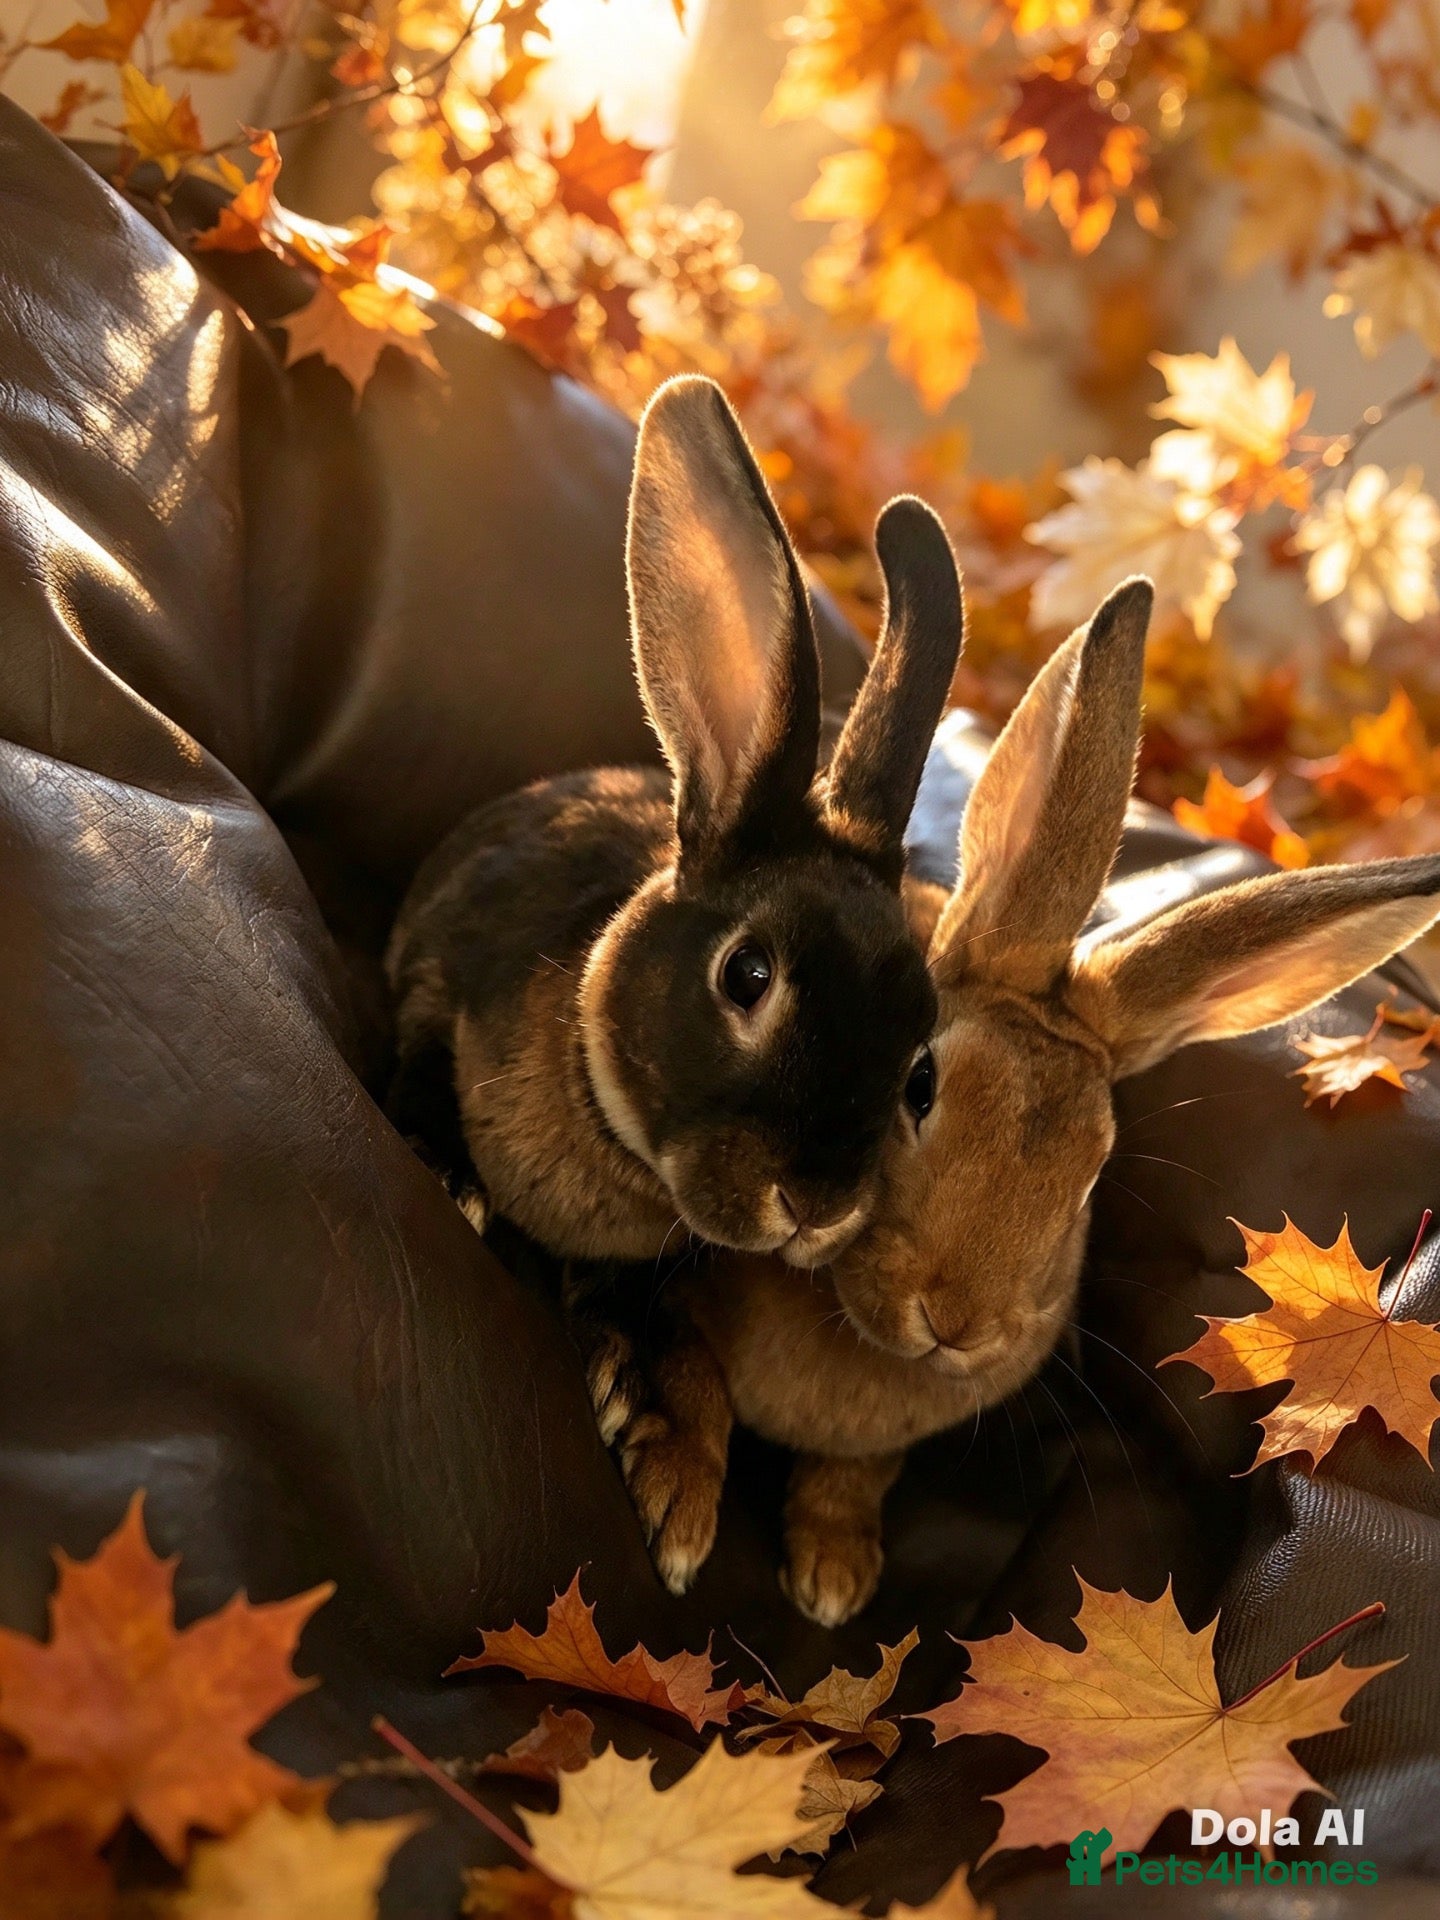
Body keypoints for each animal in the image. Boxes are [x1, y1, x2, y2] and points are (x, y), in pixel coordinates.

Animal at [385, 374, 967, 1582]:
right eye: (746, 975)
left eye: (916, 1063)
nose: (819, 1204)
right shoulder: (438, 980)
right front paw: (450, 1180)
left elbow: (676, 1348)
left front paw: (676, 1488)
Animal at [619, 573, 1440, 1626]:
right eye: (919, 1086)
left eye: (1092, 1172)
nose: (959, 1323)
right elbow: (686, 1371)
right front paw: (683, 1512)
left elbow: (859, 1473)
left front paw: (835, 1576)